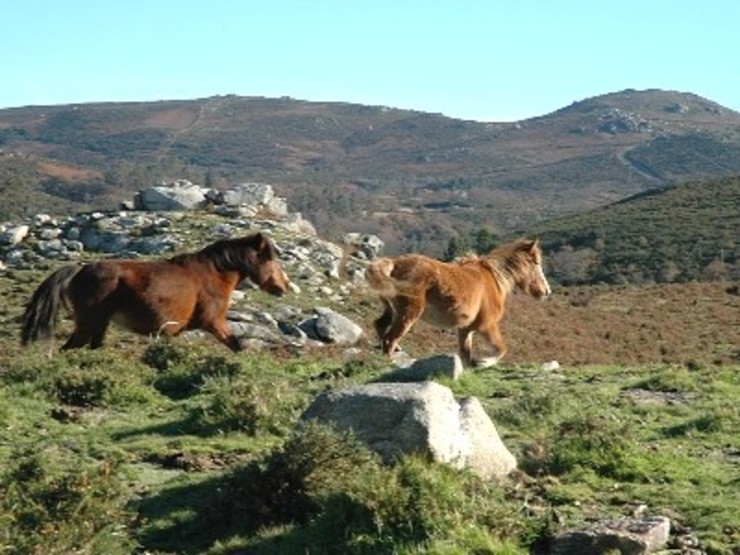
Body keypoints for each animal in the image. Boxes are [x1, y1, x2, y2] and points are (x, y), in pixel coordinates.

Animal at [20, 233, 290, 352]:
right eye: (270, 259)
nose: (284, 287)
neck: (215, 272)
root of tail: (80, 269)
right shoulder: (214, 322)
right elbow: (236, 345)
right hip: (88, 324)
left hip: (99, 325)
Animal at [364, 240, 548, 368]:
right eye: (536, 263)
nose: (546, 291)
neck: (495, 278)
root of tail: (394, 264)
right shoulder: (486, 326)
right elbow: (501, 349)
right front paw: (483, 362)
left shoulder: (466, 329)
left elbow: (465, 354)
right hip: (408, 314)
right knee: (390, 339)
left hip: (391, 311)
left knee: (380, 327)